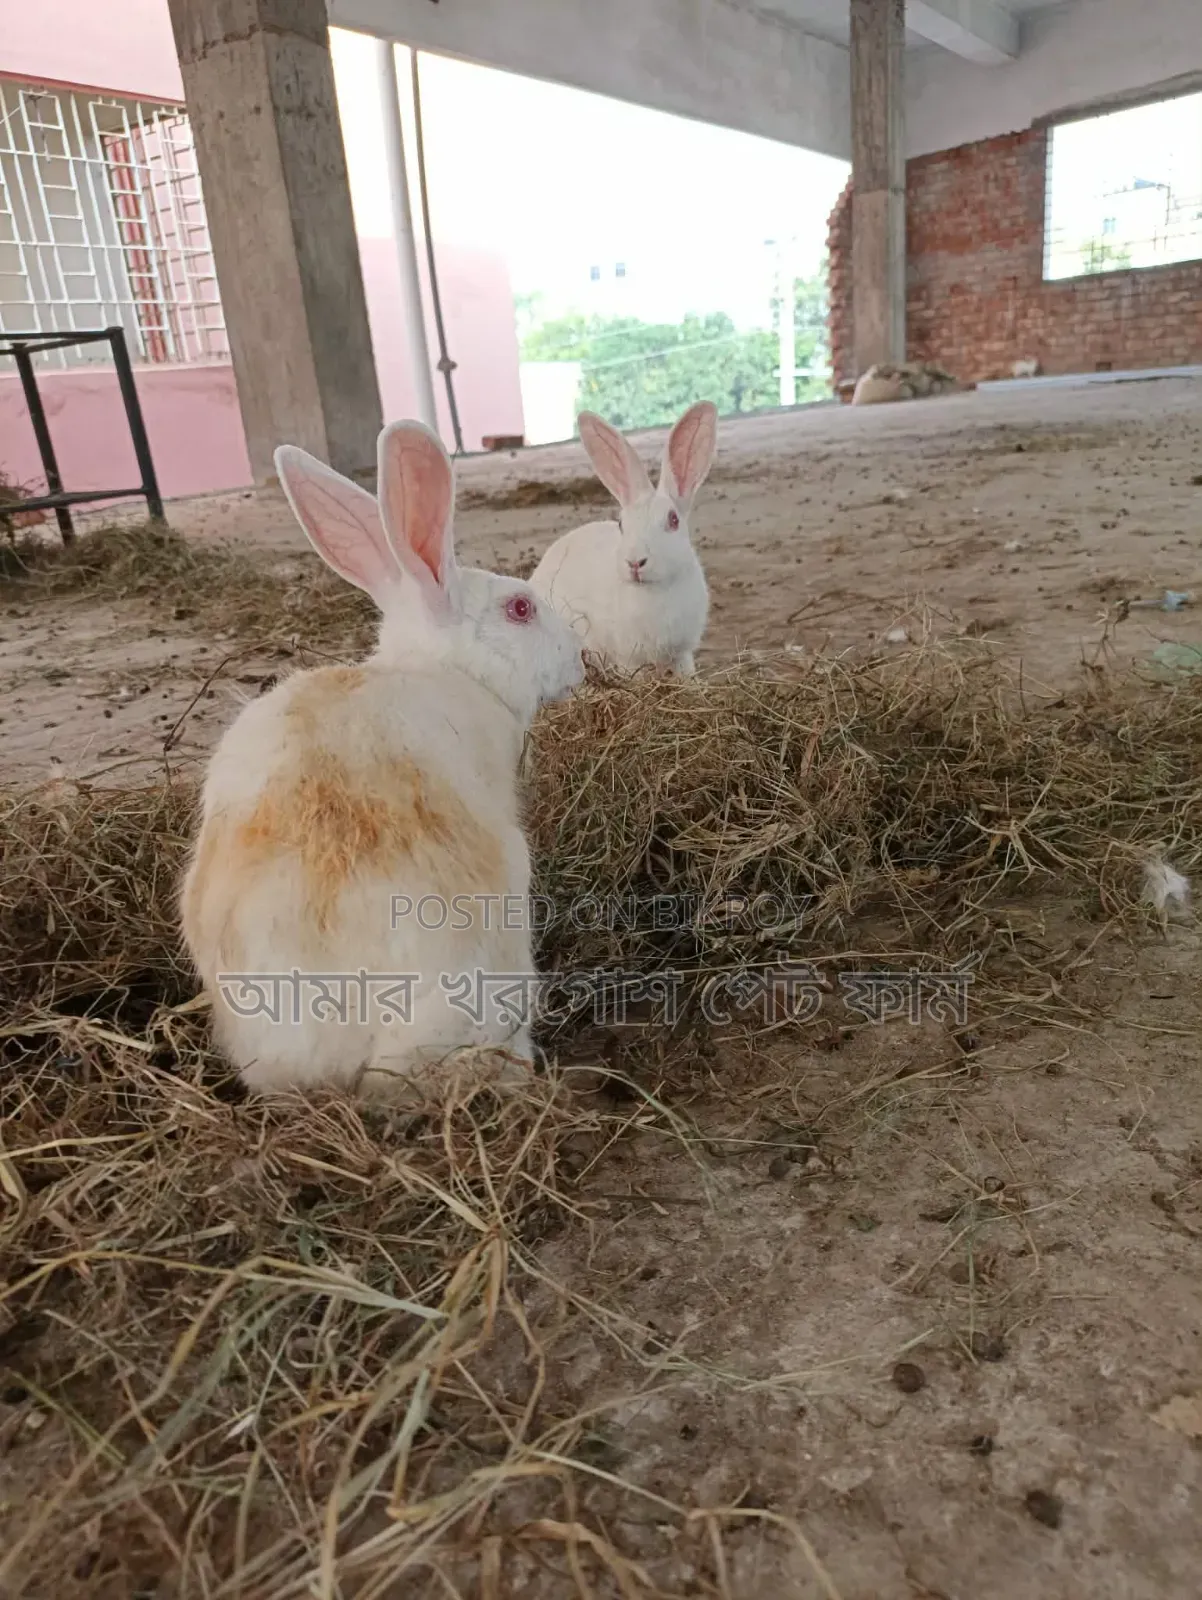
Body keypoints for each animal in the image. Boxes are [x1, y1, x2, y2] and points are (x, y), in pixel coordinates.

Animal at [528, 401, 718, 675]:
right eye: (621, 525)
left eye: (673, 520)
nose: (635, 563)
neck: (654, 590)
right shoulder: (628, 659)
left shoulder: (683, 653)